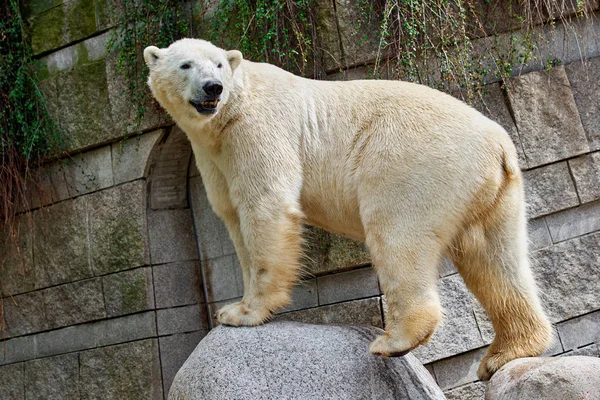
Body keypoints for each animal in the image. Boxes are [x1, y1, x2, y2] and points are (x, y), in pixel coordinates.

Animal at [144, 39, 552, 380]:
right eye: (185, 64)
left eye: (217, 64)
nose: (213, 87)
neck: (229, 112)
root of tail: (498, 143)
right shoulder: (215, 154)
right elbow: (233, 214)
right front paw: (233, 308)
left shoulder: (256, 131)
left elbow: (266, 205)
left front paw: (244, 313)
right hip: (495, 195)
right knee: (495, 259)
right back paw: (505, 353)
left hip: (411, 164)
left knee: (398, 238)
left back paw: (394, 340)